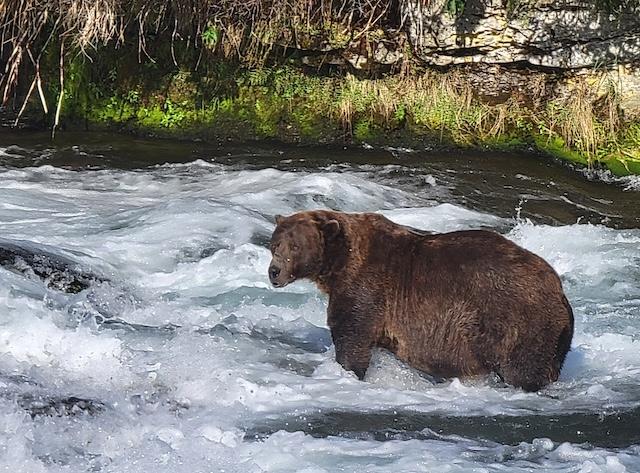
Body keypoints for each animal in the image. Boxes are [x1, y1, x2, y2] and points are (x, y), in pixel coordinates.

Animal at [268, 210, 574, 392]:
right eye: (274, 244)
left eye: (295, 246)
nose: (274, 271)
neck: (339, 263)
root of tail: (560, 293)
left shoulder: (367, 288)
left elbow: (352, 337)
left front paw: (347, 370)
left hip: (519, 325)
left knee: (523, 371)